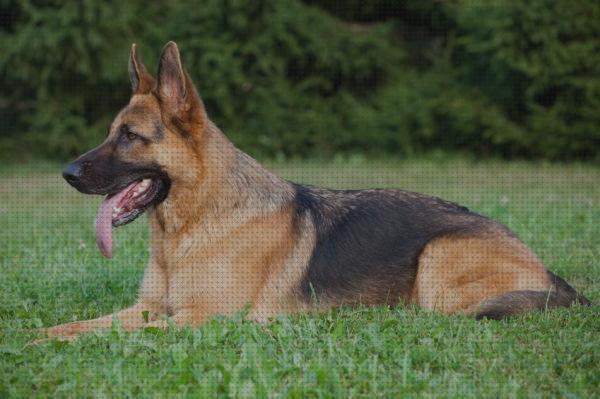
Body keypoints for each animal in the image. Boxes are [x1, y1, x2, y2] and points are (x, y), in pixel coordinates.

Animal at [47, 42, 592, 340]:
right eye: (111, 132)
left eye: (129, 136)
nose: (67, 173)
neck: (190, 229)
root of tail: (545, 270)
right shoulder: (148, 309)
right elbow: (78, 328)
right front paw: (39, 339)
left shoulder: (203, 319)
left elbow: (111, 339)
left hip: (438, 259)